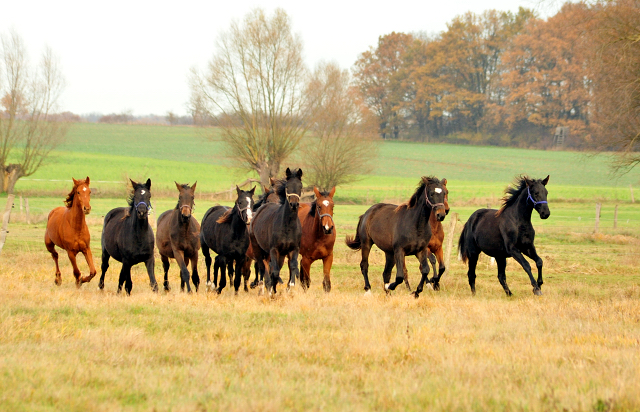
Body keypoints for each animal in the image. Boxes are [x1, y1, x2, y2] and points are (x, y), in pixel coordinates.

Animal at [249, 167, 304, 296]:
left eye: (300, 186)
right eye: (287, 186)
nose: (294, 204)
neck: (287, 226)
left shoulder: (293, 249)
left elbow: (292, 266)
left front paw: (289, 288)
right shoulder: (274, 250)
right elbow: (273, 271)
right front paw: (271, 291)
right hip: (257, 248)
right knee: (262, 266)